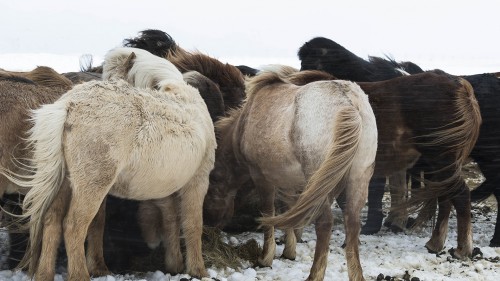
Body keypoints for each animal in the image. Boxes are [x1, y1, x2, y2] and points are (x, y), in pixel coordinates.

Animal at [1, 47, 217, 278]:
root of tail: (68, 106)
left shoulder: (167, 187)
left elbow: (171, 222)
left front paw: (175, 264)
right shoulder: (198, 181)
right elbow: (193, 224)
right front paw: (198, 270)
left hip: (65, 183)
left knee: (52, 221)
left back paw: (44, 274)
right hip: (92, 187)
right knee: (74, 226)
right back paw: (80, 275)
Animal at [201, 66, 376, 280]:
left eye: (210, 185)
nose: (208, 225)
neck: (243, 125)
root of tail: (348, 100)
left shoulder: (261, 176)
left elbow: (268, 211)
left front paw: (266, 257)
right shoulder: (291, 183)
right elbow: (290, 209)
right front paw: (290, 250)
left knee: (324, 223)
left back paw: (314, 274)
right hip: (358, 178)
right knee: (352, 223)